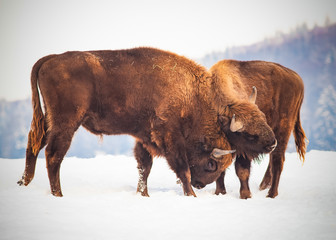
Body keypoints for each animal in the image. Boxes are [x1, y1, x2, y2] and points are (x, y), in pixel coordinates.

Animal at [17, 47, 236, 198]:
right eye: (211, 164)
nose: (201, 184)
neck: (190, 97)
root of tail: (51, 58)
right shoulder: (170, 138)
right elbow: (182, 170)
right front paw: (191, 195)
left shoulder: (144, 137)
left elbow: (144, 167)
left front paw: (143, 195)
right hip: (66, 123)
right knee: (53, 155)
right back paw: (58, 194)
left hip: (50, 121)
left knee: (34, 144)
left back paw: (23, 183)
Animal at [211, 59, 308, 198]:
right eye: (250, 135)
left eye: (264, 118)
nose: (272, 143)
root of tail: (297, 79)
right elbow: (220, 169)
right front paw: (219, 193)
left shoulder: (244, 151)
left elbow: (242, 170)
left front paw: (246, 195)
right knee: (272, 161)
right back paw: (263, 186)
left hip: (283, 129)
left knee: (277, 160)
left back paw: (271, 194)